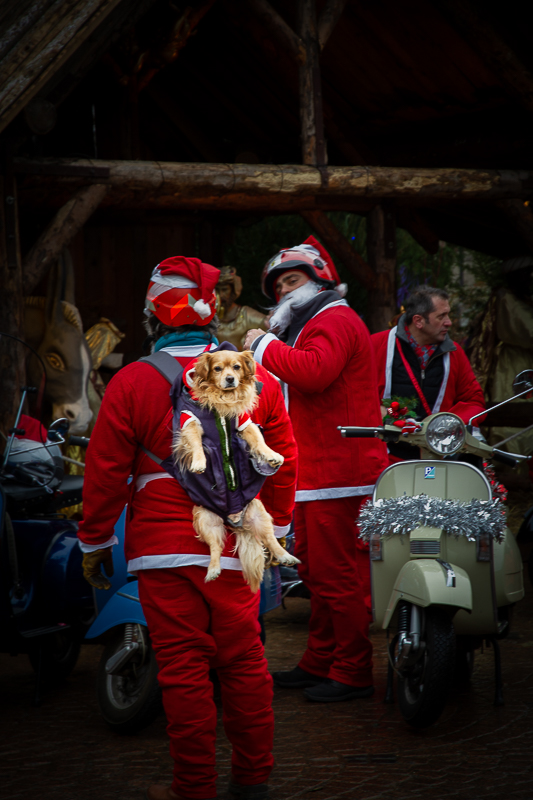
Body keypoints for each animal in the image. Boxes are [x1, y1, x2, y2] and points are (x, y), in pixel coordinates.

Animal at [175, 350, 300, 592]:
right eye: (217, 369)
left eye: (237, 367)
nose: (230, 378)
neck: (223, 399)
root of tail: (237, 521)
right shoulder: (190, 423)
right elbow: (196, 445)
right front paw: (199, 462)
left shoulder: (244, 422)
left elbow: (259, 441)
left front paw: (272, 455)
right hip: (207, 521)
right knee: (215, 548)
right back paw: (213, 570)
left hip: (260, 514)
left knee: (271, 540)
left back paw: (285, 556)